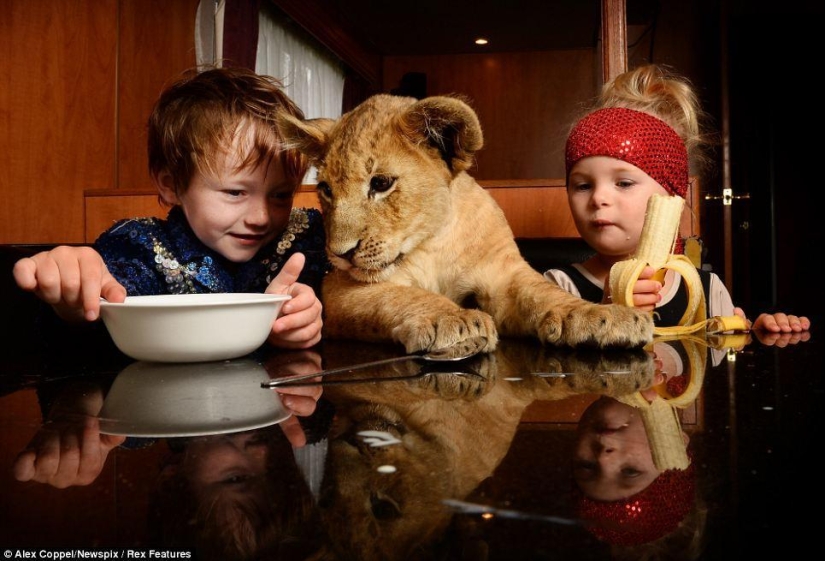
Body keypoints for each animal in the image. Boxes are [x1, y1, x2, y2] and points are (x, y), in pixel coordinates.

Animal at [278, 94, 653, 353]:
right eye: (326, 190)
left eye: (381, 183)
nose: (339, 254)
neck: (431, 242)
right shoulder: (338, 289)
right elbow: (402, 295)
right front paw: (454, 319)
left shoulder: (503, 275)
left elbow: (543, 292)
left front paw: (603, 317)